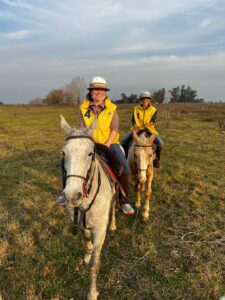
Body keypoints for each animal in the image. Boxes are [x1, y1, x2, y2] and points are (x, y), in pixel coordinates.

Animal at [59, 115, 116, 300]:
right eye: (63, 153)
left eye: (90, 153)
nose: (71, 195)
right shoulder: (80, 223)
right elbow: (86, 240)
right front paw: (87, 255)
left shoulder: (99, 230)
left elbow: (94, 265)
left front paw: (92, 293)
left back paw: (113, 225)